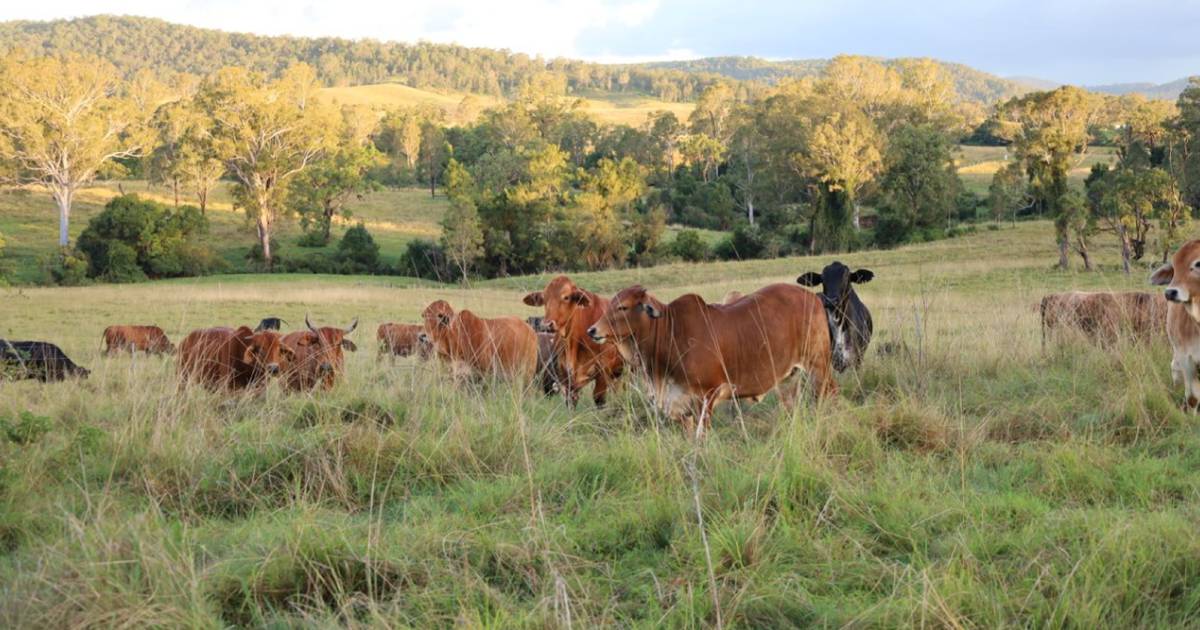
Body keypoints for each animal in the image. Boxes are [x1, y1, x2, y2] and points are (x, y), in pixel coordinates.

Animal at [520, 276, 624, 405]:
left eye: (566, 297)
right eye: (544, 299)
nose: (546, 324)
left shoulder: (603, 372)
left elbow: (599, 399)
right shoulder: (566, 378)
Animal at [583, 282, 830, 434]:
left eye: (623, 307)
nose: (592, 330)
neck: (671, 332)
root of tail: (814, 298)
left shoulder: (707, 396)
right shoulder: (681, 405)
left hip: (819, 367)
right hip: (790, 378)